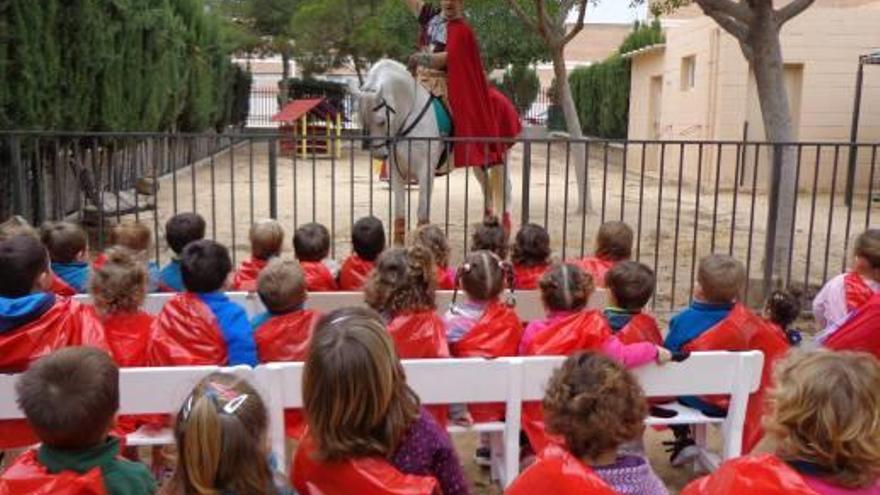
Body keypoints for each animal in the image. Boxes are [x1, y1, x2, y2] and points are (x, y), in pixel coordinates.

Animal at [354, 59, 512, 245]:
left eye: (381, 121)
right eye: (363, 121)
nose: (379, 154)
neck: (409, 112)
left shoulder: (425, 172)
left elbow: (422, 212)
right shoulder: (396, 173)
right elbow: (399, 212)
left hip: (501, 158)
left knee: (506, 189)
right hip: (479, 162)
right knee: (486, 187)